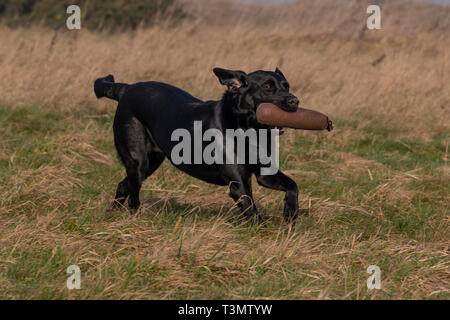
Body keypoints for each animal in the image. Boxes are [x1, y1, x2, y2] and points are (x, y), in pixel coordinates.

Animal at [93, 67, 300, 222]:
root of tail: (126, 89)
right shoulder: (238, 183)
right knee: (133, 195)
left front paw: (290, 214)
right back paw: (135, 218)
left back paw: (111, 214)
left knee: (123, 185)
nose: (295, 101)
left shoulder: (265, 174)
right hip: (138, 160)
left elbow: (293, 186)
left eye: (286, 85)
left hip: (152, 161)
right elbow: (253, 214)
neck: (248, 131)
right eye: (268, 87)